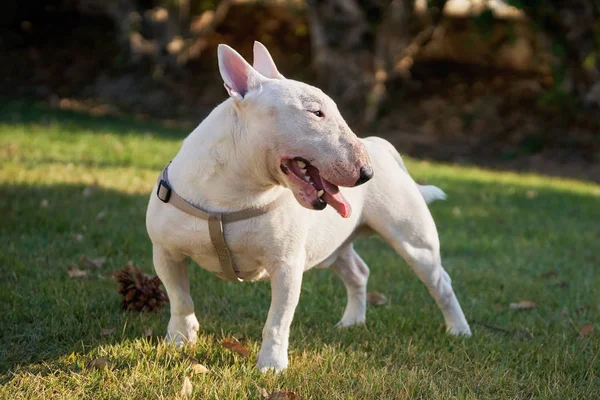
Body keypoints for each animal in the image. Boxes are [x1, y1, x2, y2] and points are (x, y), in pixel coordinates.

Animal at [144, 40, 468, 372]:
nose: (367, 174)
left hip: (414, 242)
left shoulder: (286, 265)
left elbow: (277, 320)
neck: (232, 191)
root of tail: (382, 147)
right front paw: (179, 340)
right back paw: (352, 321)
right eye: (316, 112)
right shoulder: (165, 252)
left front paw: (271, 366)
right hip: (332, 245)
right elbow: (180, 299)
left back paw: (458, 330)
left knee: (440, 282)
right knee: (358, 272)